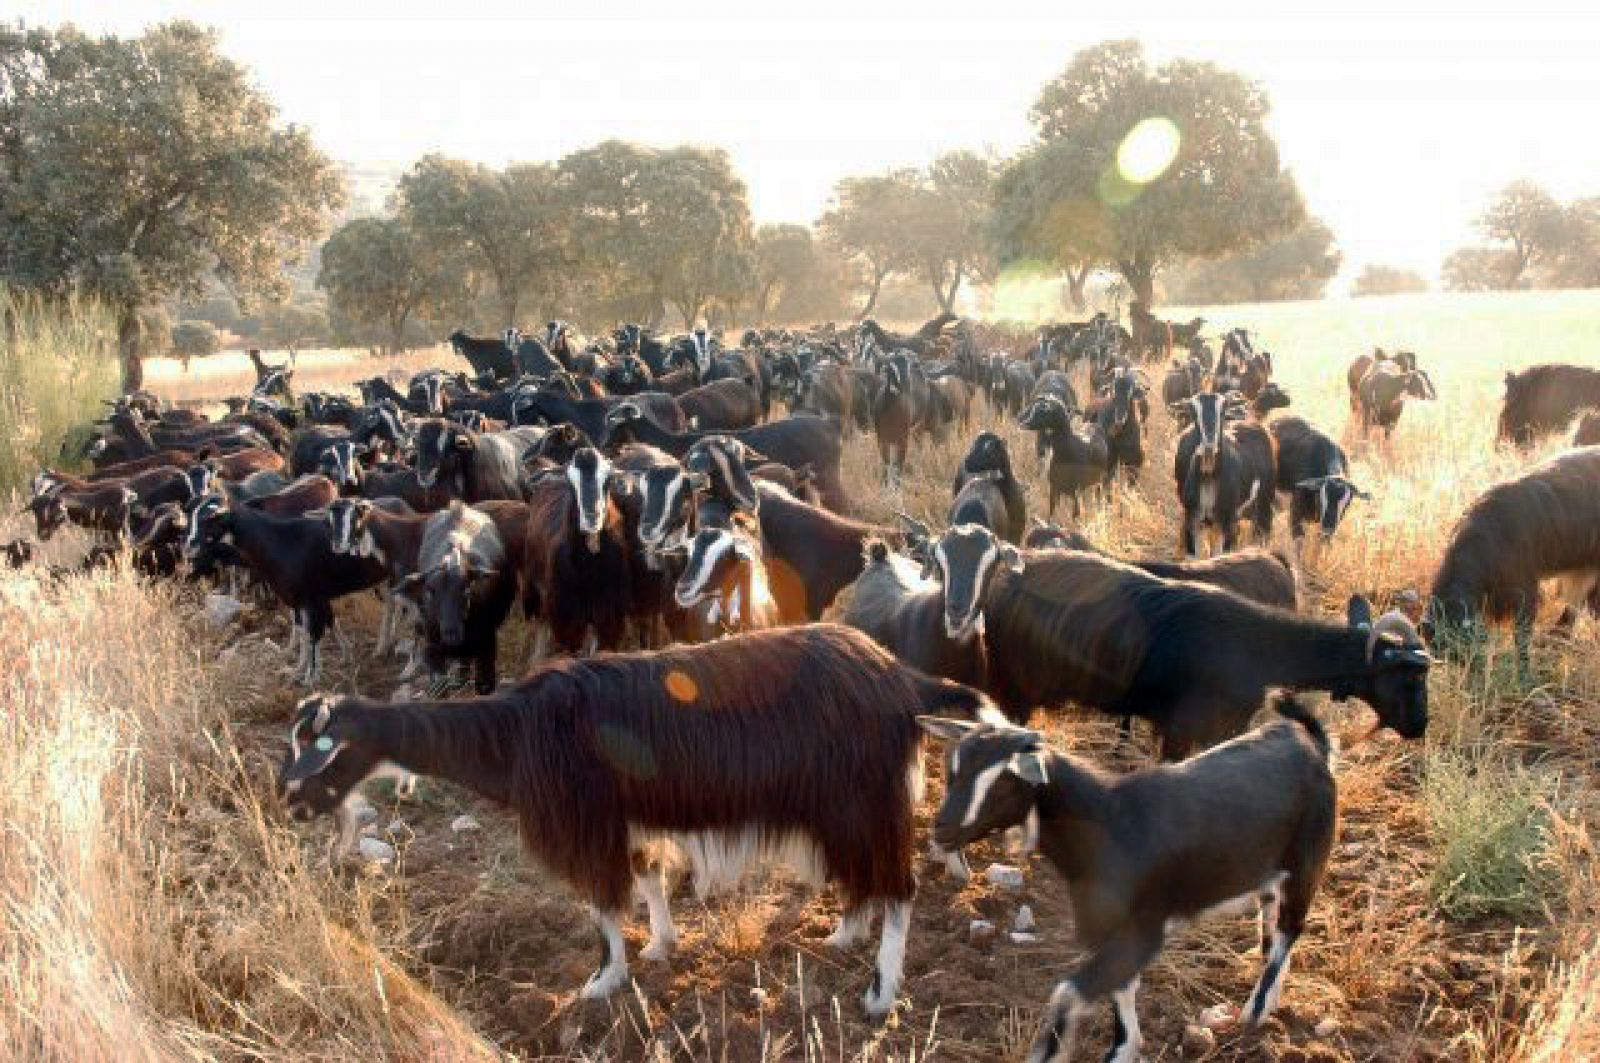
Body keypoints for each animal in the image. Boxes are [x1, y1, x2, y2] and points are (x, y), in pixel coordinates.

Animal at [281, 627, 992, 1018]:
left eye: (325, 746)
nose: (292, 803)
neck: (515, 734)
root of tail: (904, 682)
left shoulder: (589, 824)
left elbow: (603, 906)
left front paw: (602, 983)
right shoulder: (628, 820)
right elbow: (648, 879)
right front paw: (660, 946)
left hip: (861, 803)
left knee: (899, 888)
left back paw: (881, 991)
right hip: (841, 810)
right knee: (864, 880)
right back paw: (842, 938)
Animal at [921, 694, 1331, 1056]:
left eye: (1006, 783)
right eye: (953, 770)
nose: (942, 829)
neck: (1111, 820)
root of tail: (1309, 740)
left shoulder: (1145, 929)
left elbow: (1068, 993)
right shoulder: (1109, 929)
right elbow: (1122, 992)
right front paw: (1125, 1047)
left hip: (1306, 861)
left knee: (1291, 928)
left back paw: (1255, 1014)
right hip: (1269, 870)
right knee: (1272, 923)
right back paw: (1268, 996)